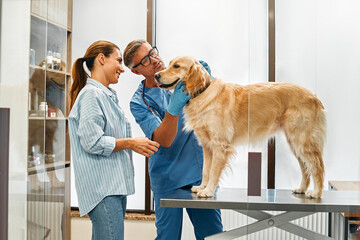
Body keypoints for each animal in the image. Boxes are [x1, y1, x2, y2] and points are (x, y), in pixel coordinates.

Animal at [155, 55, 326, 199]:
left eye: (176, 66)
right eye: (169, 64)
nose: (156, 75)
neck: (202, 92)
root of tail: (314, 97)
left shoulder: (220, 145)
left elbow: (214, 171)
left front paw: (208, 191)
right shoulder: (207, 145)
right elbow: (205, 170)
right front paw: (201, 187)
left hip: (302, 141)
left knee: (317, 167)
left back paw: (316, 193)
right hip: (295, 143)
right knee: (305, 168)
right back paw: (302, 188)